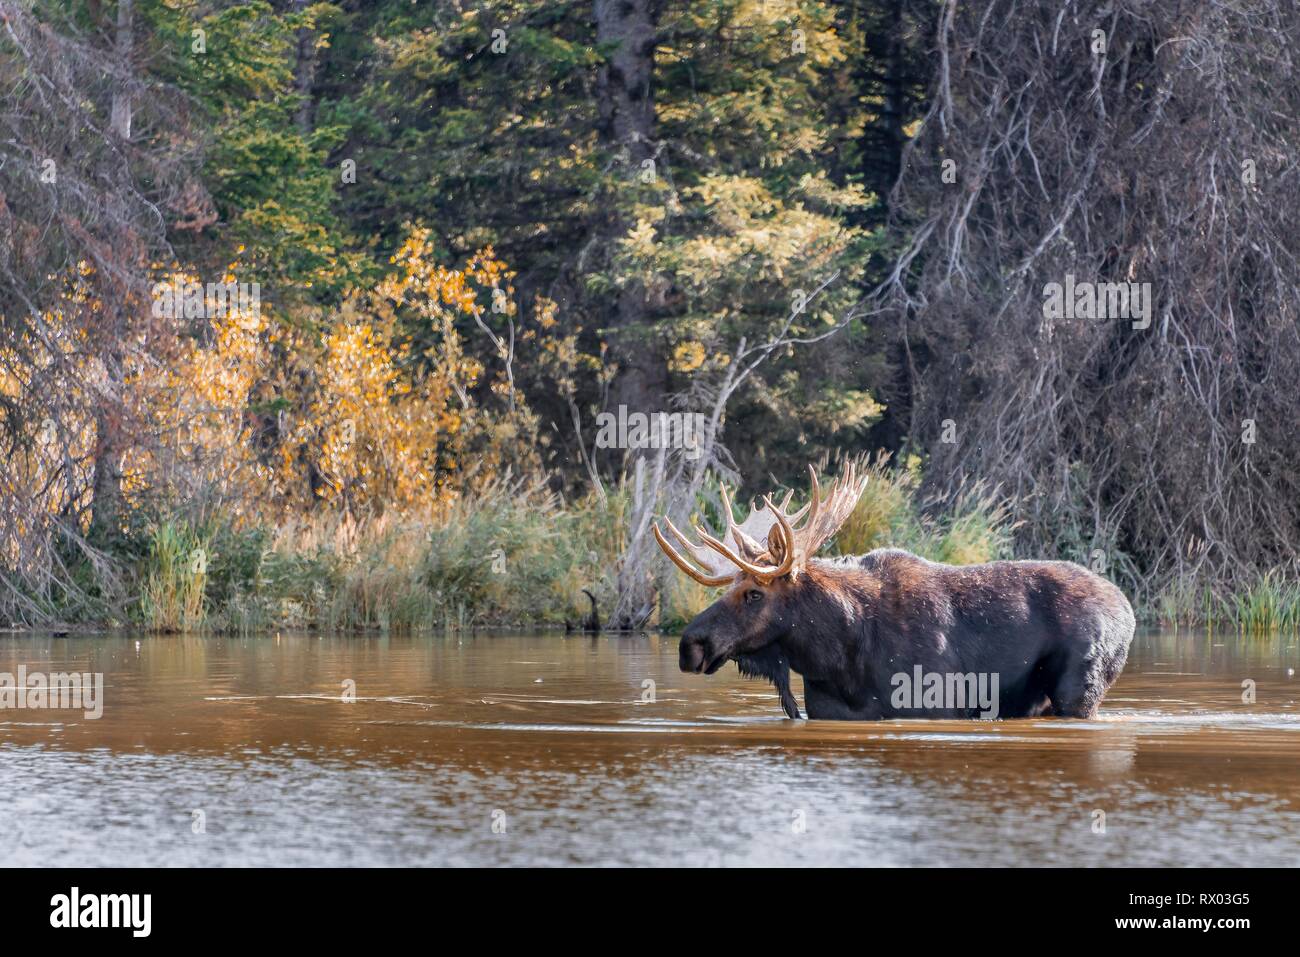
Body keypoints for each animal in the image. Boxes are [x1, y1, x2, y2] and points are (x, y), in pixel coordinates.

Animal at [655, 462, 1133, 717]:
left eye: (755, 593)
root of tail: (1126, 609)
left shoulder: (935, 704)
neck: (838, 656)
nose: (689, 645)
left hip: (1078, 690)